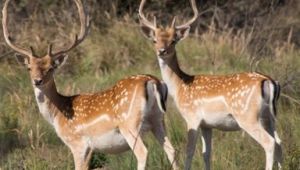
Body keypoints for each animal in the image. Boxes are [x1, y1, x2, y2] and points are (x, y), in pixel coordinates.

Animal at [2, 0, 178, 170]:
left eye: (51, 68)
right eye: (29, 68)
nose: (37, 80)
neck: (58, 115)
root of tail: (153, 81)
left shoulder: (78, 143)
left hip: (129, 123)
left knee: (143, 152)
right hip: (158, 120)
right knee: (171, 149)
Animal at [138, 0, 284, 170]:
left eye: (173, 40)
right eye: (154, 40)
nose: (162, 51)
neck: (180, 87)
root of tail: (269, 81)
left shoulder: (192, 118)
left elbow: (190, 151)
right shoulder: (207, 125)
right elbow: (206, 153)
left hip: (248, 116)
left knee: (269, 142)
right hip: (269, 117)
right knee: (279, 142)